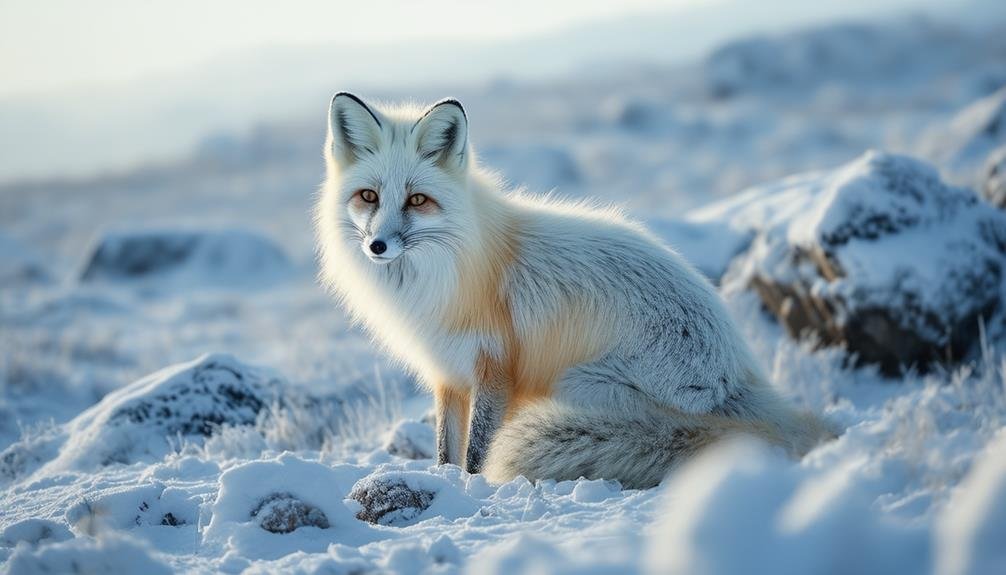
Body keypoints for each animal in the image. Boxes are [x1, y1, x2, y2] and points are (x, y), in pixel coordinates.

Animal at [313, 91, 832, 486]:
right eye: (369, 197)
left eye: (417, 200)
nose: (378, 245)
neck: (446, 275)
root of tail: (746, 383)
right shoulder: (448, 373)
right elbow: (446, 449)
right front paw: (444, 480)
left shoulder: (495, 367)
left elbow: (478, 451)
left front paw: (471, 488)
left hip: (576, 382)